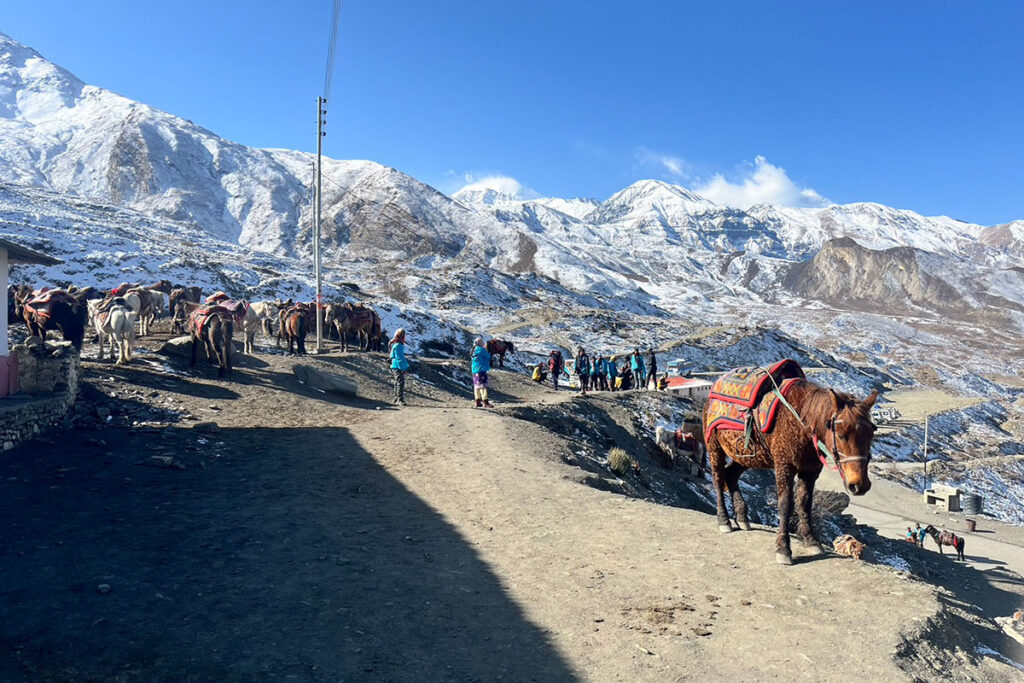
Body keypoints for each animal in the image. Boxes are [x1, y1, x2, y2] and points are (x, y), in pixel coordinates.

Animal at [704, 360, 880, 565]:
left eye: (871, 433)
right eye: (842, 434)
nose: (859, 485)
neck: (802, 423)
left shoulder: (810, 471)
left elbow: (804, 504)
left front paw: (811, 541)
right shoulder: (784, 466)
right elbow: (785, 505)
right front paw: (783, 549)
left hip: (745, 456)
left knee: (731, 475)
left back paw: (741, 517)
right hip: (715, 447)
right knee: (718, 479)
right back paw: (724, 520)